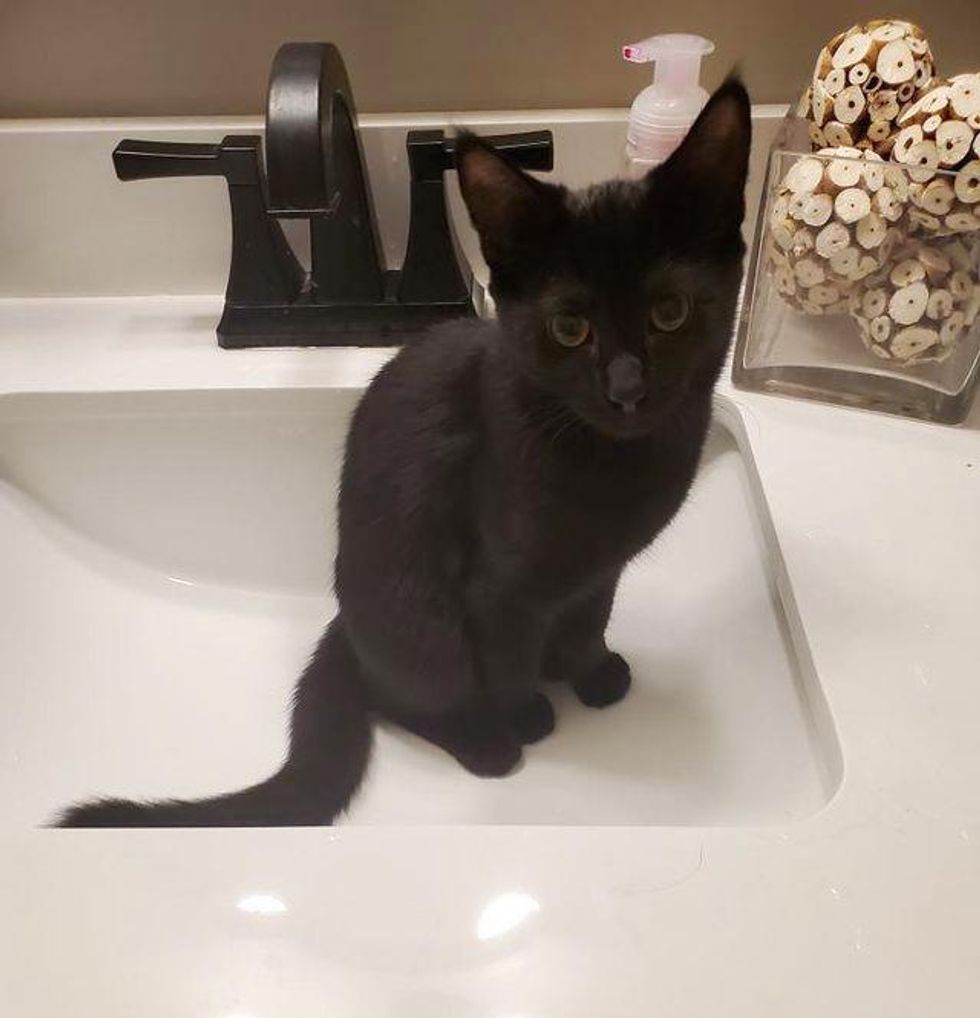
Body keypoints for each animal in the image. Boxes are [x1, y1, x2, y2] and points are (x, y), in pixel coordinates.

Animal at [59, 77, 753, 826]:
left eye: (670, 313)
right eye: (569, 327)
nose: (627, 390)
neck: (615, 469)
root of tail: (344, 623)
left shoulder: (602, 572)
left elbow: (588, 622)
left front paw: (590, 672)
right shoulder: (495, 588)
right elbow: (505, 657)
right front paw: (528, 714)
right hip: (417, 613)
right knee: (402, 693)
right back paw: (486, 741)